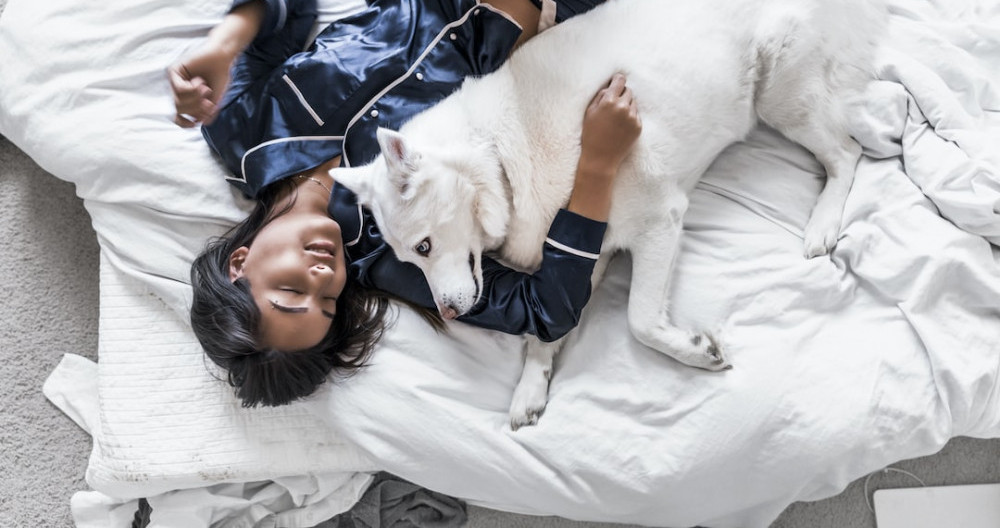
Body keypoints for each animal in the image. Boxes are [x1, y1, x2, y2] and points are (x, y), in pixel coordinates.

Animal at [334, 0, 884, 428]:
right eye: (410, 260)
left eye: (424, 246)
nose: (448, 313)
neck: (500, 158)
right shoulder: (585, 256)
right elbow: (544, 333)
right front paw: (531, 387)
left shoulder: (659, 219)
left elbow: (640, 320)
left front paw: (693, 351)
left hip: (779, 95)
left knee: (848, 153)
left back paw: (822, 225)